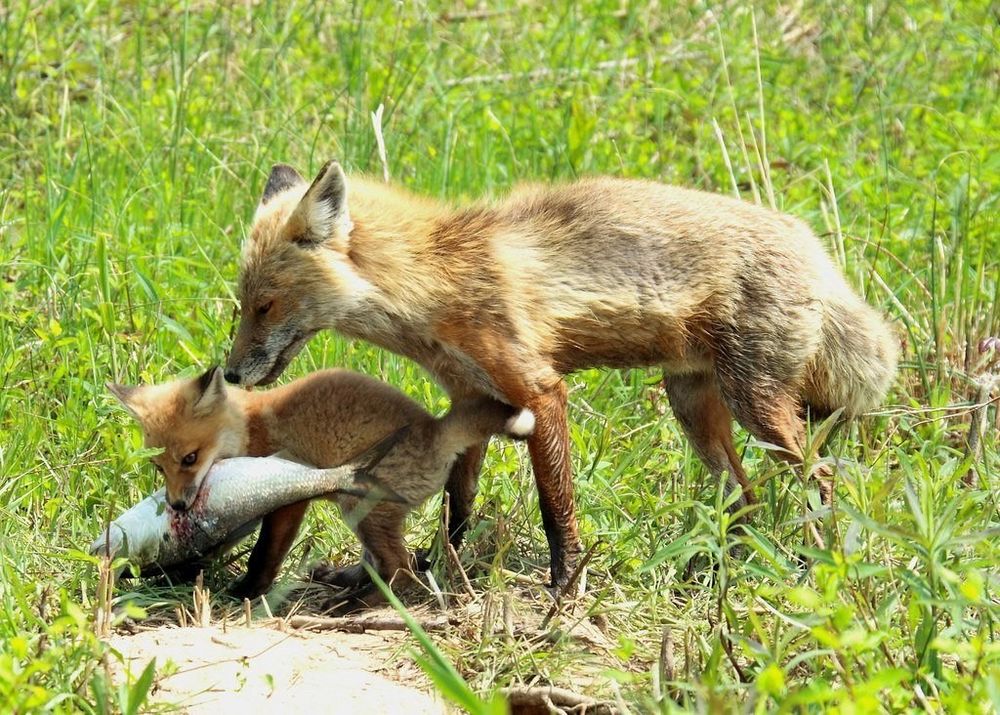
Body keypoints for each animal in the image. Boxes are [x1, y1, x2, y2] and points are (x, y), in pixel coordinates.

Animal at [107, 366, 535, 601]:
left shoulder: (286, 500)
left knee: (401, 569)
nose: (177, 505)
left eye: (189, 458)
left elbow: (263, 555)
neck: (251, 429)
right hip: (365, 514)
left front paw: (247, 591)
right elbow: (212, 545)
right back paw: (346, 582)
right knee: (381, 562)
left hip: (361, 508)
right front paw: (171, 575)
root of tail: (437, 430)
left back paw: (357, 606)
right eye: (158, 467)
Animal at [223, 161, 898, 590]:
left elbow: (556, 506)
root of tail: (810, 243)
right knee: (745, 496)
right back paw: (720, 570)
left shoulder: (542, 391)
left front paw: (566, 587)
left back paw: (818, 565)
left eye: (266, 306)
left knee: (823, 477)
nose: (229, 374)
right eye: (242, 305)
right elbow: (456, 509)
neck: (436, 283)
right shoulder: (472, 398)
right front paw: (440, 568)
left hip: (757, 408)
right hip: (694, 408)